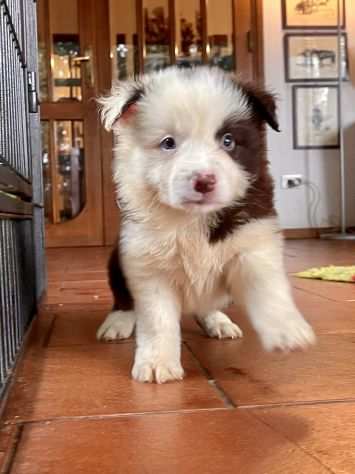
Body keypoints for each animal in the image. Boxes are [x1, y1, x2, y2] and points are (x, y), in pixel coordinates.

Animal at [96, 66, 316, 384]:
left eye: (228, 141)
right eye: (168, 143)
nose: (204, 181)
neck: (191, 217)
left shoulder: (252, 240)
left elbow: (265, 284)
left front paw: (287, 328)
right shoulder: (147, 263)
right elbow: (157, 319)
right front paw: (156, 363)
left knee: (207, 304)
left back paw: (218, 321)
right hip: (117, 260)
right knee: (123, 297)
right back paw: (117, 322)